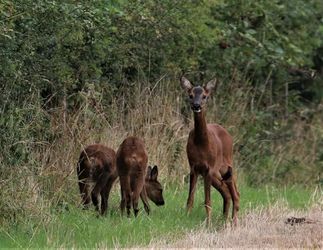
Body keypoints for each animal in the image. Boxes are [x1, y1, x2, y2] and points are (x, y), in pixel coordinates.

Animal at [182, 75, 240, 225]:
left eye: (205, 96)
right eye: (190, 95)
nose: (196, 106)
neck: (201, 144)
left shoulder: (208, 168)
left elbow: (207, 201)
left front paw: (207, 223)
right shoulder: (194, 167)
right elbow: (190, 198)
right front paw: (186, 217)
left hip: (227, 167)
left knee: (235, 194)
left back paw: (234, 222)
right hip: (217, 174)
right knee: (226, 193)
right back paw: (225, 220)